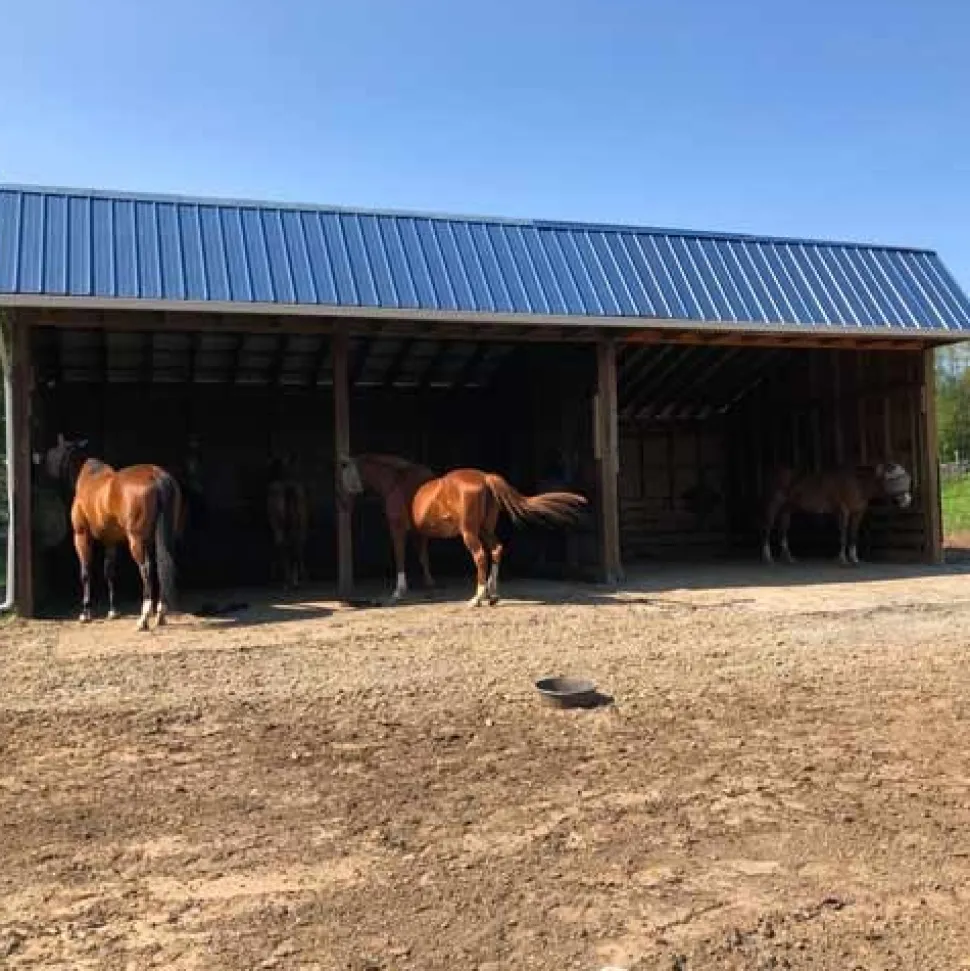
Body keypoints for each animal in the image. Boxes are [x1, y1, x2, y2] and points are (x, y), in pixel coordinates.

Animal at [43, 434, 184, 631]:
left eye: (55, 452)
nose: (43, 471)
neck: (88, 479)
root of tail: (156, 475)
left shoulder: (81, 536)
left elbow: (85, 571)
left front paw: (85, 613)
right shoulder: (110, 541)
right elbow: (109, 572)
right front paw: (112, 611)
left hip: (136, 540)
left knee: (145, 569)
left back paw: (143, 618)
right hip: (161, 539)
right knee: (162, 564)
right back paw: (160, 614)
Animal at [266, 455, 310, 589]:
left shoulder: (276, 526)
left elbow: (277, 545)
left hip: (282, 525)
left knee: (284, 545)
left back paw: (287, 581)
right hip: (300, 524)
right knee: (298, 545)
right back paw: (299, 579)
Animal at [337, 453, 588, 606]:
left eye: (342, 476)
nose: (343, 505)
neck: (396, 483)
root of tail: (486, 478)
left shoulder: (398, 530)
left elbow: (400, 558)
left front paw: (399, 591)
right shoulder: (420, 534)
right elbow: (423, 558)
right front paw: (430, 585)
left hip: (469, 533)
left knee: (480, 557)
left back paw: (477, 597)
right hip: (485, 529)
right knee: (496, 550)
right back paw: (492, 594)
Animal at [761, 462, 912, 566]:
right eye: (893, 479)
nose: (907, 500)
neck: (858, 483)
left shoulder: (858, 513)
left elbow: (853, 535)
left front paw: (855, 559)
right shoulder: (843, 510)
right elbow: (844, 535)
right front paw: (843, 559)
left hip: (787, 508)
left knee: (783, 529)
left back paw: (788, 558)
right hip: (773, 503)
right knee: (768, 526)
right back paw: (768, 557)